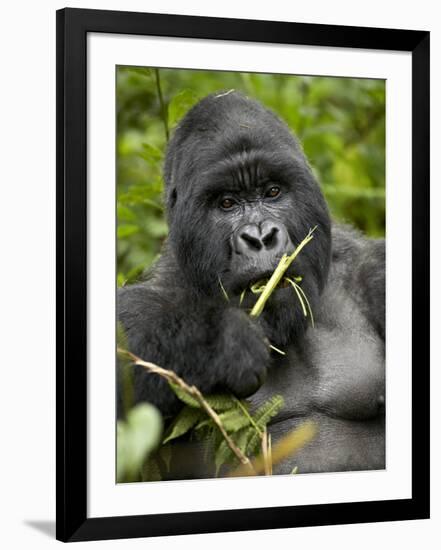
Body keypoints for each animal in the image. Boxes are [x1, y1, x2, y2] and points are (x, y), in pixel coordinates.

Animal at [117, 90, 384, 474]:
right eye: (227, 203)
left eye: (272, 192)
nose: (260, 237)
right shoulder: (160, 289)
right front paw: (222, 340)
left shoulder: (373, 271)